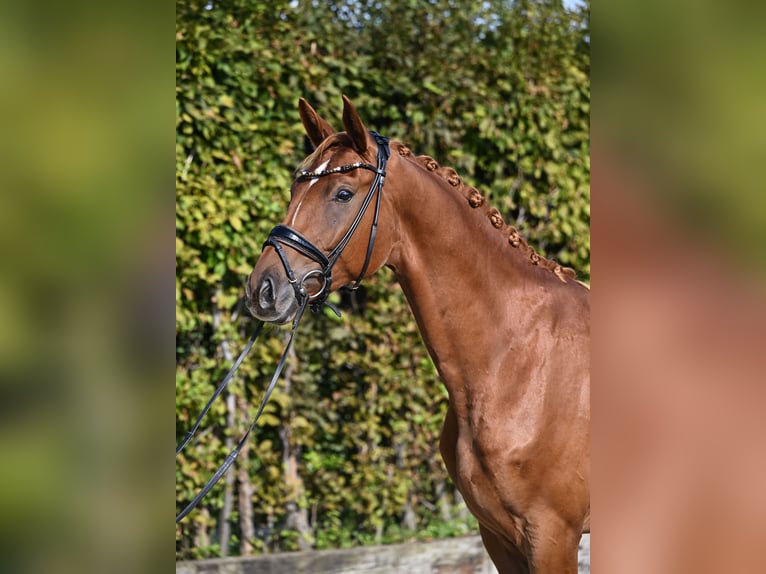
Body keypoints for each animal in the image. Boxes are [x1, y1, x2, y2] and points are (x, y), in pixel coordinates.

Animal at [249, 98, 592, 574]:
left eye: (342, 194)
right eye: (293, 191)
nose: (263, 290)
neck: (516, 361)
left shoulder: (552, 536)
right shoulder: (499, 536)